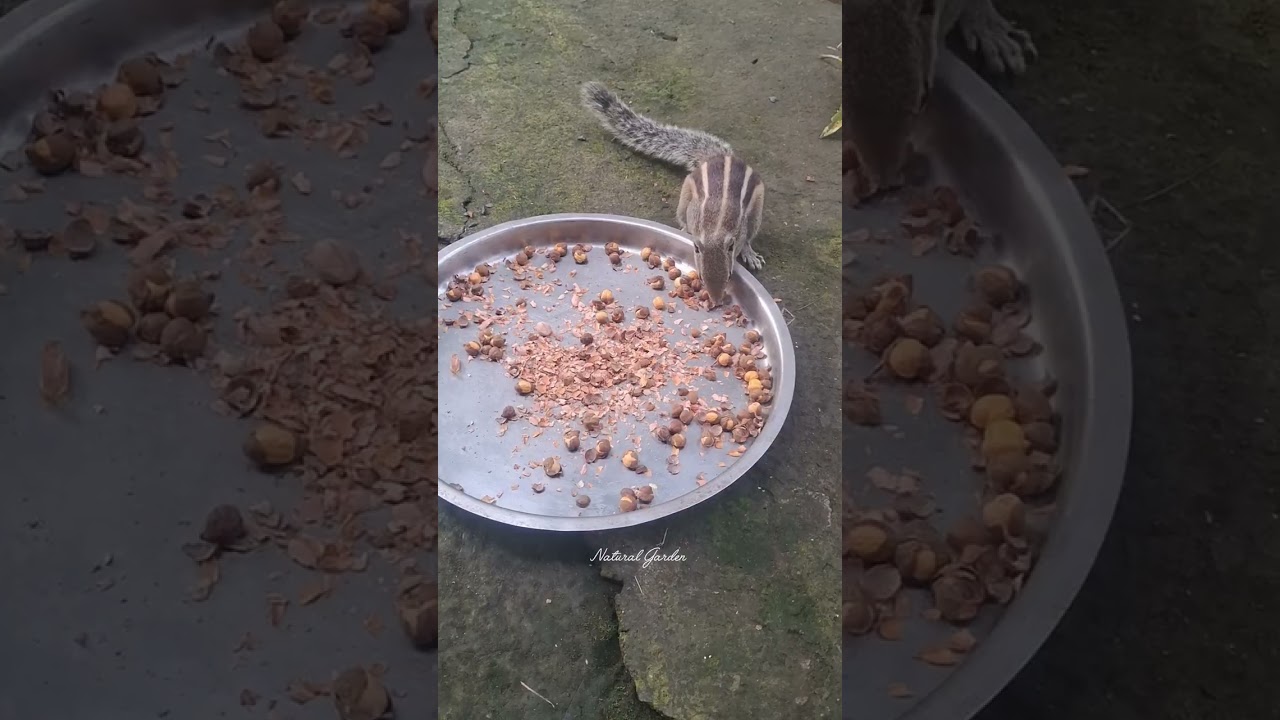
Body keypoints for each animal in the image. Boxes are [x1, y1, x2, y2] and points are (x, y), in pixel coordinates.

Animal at [580, 81, 764, 308]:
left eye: (729, 276)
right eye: (701, 277)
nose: (716, 302)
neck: (715, 229)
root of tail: (717, 156)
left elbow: (744, 238)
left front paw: (746, 250)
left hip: (756, 207)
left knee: (751, 232)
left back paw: (750, 253)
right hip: (686, 194)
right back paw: (684, 229)